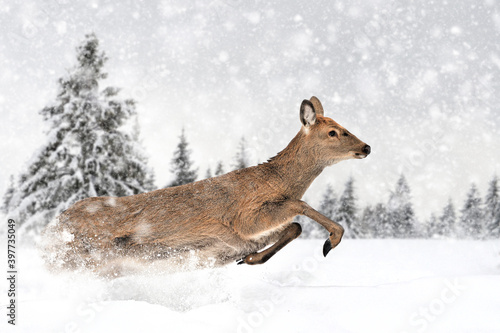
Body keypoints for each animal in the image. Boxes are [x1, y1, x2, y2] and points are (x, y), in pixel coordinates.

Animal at [43, 96, 370, 274]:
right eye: (333, 132)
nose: (366, 147)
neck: (275, 181)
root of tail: (51, 227)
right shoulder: (244, 217)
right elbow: (299, 207)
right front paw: (332, 240)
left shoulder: (251, 233)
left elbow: (295, 227)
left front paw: (249, 259)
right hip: (80, 256)